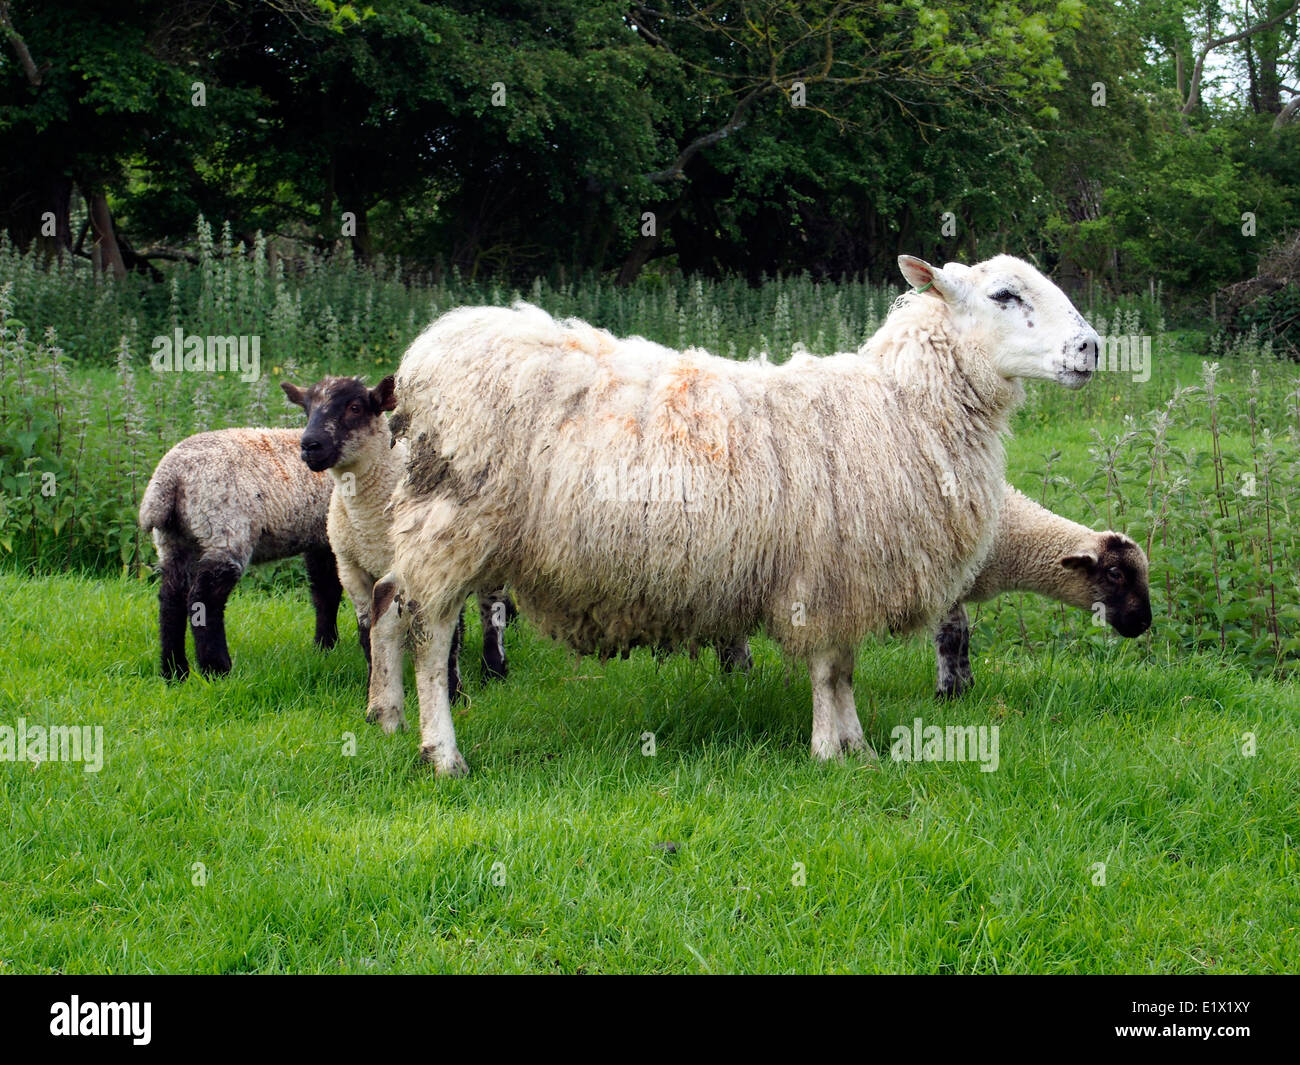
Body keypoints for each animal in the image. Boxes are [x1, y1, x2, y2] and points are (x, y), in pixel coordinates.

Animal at [139, 426, 340, 681]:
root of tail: (169, 477)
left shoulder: (322, 541)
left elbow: (326, 592)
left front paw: (325, 646)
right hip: (224, 528)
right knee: (204, 599)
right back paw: (216, 670)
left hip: (175, 541)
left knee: (171, 599)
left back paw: (175, 671)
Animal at [280, 371, 512, 723]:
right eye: (307, 409)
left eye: (356, 407)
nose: (309, 446)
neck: (370, 522)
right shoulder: (351, 568)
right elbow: (367, 634)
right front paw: (372, 690)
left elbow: (450, 640)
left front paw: (454, 694)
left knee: (492, 611)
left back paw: (495, 671)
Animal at [377, 254, 1097, 780]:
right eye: (1005, 295)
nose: (1092, 347)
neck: (904, 404)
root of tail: (425, 353)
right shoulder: (823, 574)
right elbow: (829, 669)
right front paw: (828, 750)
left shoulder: (843, 575)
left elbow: (844, 667)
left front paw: (857, 747)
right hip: (452, 521)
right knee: (429, 631)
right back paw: (443, 754)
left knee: (391, 606)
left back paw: (386, 717)